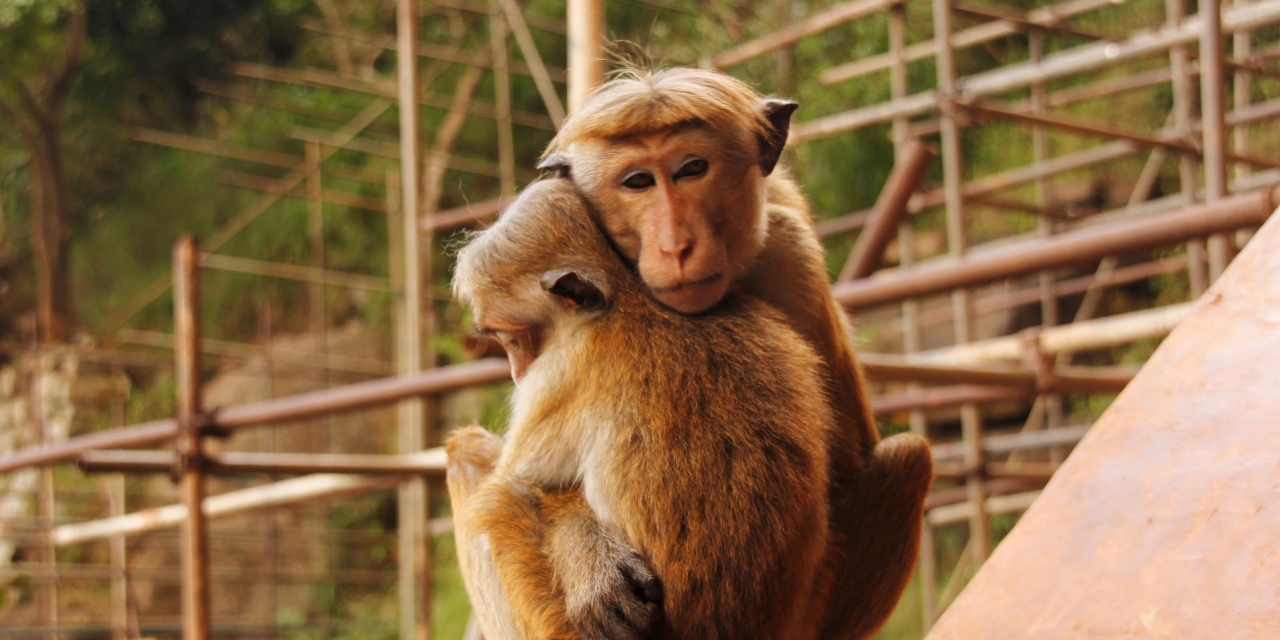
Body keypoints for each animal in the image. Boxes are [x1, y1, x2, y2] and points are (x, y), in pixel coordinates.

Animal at [448, 179, 829, 640]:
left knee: (488, 487)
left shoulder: (559, 375)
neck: (627, 301)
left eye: (514, 337)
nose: (517, 372)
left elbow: (523, 486)